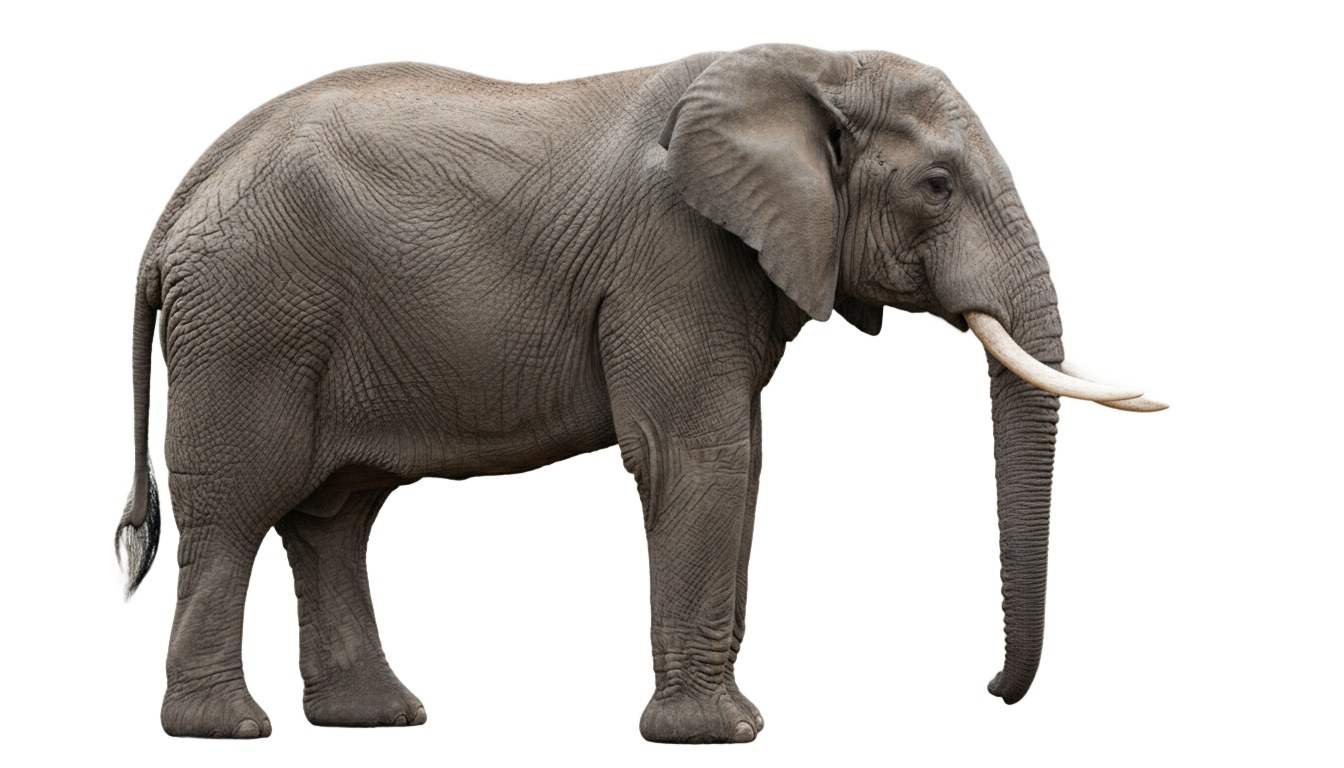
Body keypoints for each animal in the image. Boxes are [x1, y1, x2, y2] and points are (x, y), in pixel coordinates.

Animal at [113, 43, 1161, 742]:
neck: (815, 64)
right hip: (249, 322)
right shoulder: (672, 257)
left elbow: (735, 459)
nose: (983, 694)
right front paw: (721, 737)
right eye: (938, 184)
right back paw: (225, 732)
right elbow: (701, 458)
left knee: (334, 518)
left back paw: (378, 720)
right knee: (235, 510)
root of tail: (181, 203)